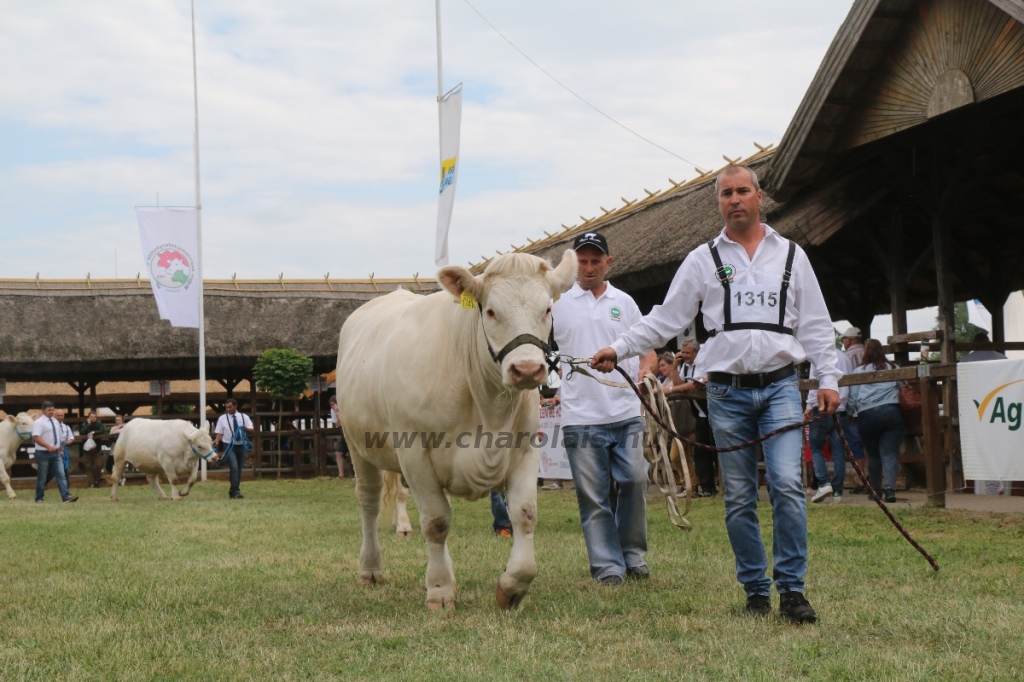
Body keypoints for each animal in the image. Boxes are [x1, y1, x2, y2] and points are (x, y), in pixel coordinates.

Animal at [335, 246, 577, 606]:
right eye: (490, 311)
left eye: (547, 309)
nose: (526, 370)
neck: (488, 410)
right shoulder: (414, 451)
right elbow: (436, 522)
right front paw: (439, 589)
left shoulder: (524, 449)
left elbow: (525, 514)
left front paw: (512, 586)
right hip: (357, 444)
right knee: (369, 500)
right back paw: (371, 568)